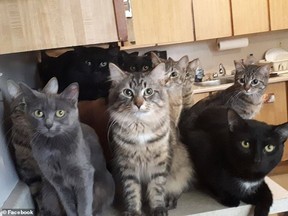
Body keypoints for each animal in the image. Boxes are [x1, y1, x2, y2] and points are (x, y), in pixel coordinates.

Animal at [17, 79, 115, 216]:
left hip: (104, 186)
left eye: (60, 113)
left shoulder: (84, 175)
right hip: (49, 193)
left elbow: (84, 205)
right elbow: (68, 205)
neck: (54, 147)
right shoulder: (57, 182)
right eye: (38, 113)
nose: (48, 124)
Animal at [107, 62, 191, 216]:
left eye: (149, 91)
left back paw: (170, 201)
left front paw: (158, 209)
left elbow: (157, 189)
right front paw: (133, 211)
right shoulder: (127, 166)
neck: (140, 127)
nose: (138, 104)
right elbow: (132, 191)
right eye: (128, 92)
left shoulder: (159, 163)